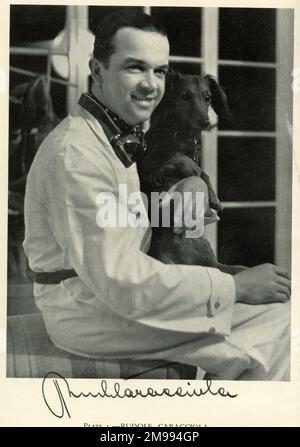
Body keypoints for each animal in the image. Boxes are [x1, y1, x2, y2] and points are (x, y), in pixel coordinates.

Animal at [138, 72, 246, 274]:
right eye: (185, 96)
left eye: (207, 97)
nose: (206, 122)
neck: (179, 135)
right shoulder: (150, 163)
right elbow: (192, 166)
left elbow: (203, 172)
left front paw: (214, 198)